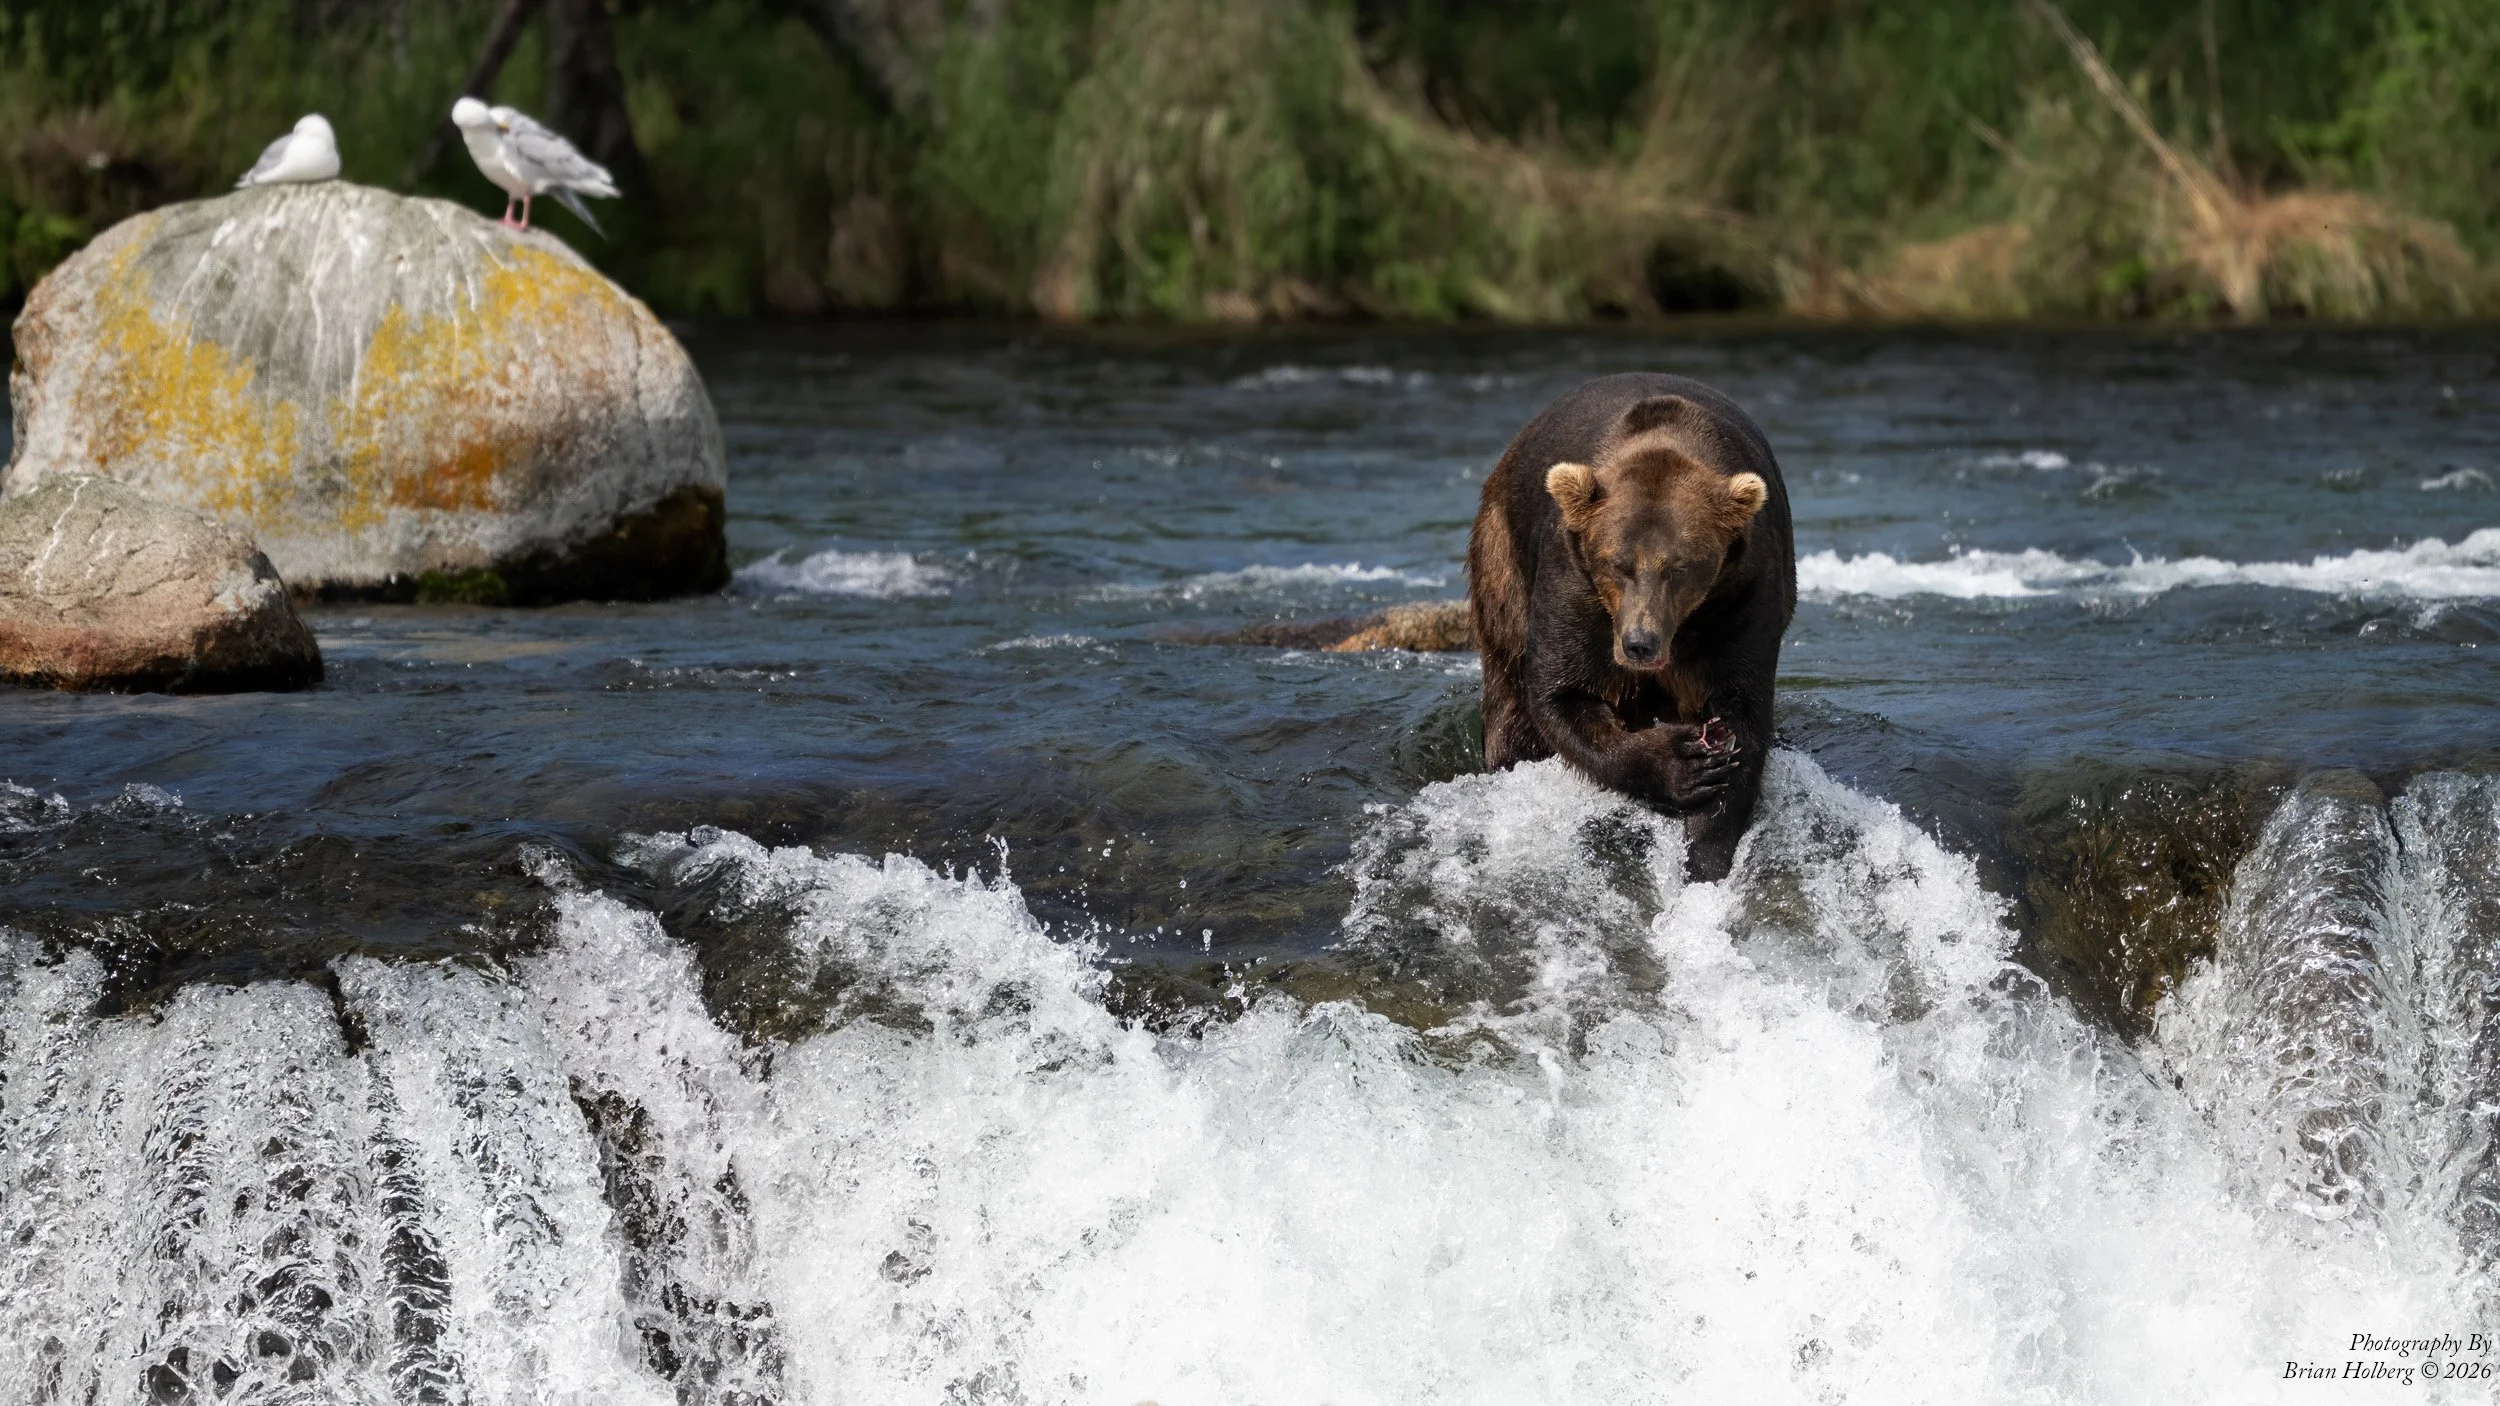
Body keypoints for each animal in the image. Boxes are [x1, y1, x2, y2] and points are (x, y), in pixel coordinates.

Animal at [1466, 373, 1795, 881]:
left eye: (1680, 567)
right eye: (1617, 564)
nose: (1640, 643)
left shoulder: (1742, 594)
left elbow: (1743, 715)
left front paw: (1705, 855)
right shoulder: (1573, 582)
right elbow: (1562, 693)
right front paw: (1681, 764)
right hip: (1503, 561)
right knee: (1510, 697)